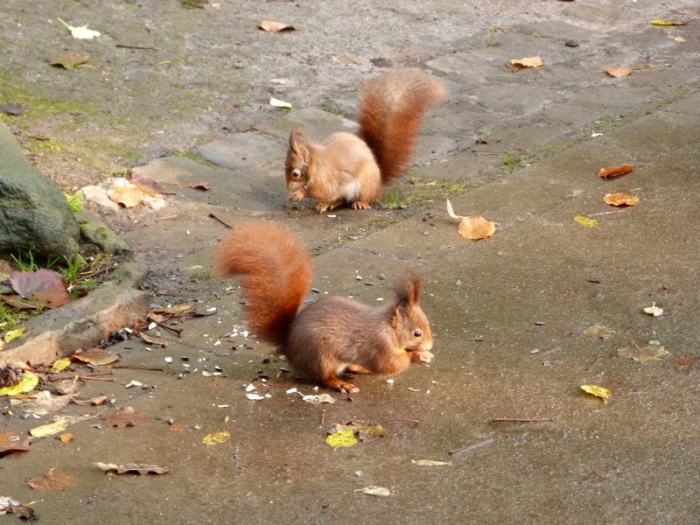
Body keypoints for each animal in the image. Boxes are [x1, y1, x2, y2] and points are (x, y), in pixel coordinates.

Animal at [215, 221, 434, 393]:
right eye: (417, 333)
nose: (430, 345)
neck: (388, 327)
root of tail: (289, 346)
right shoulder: (379, 345)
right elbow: (388, 365)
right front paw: (418, 356)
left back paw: (357, 368)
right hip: (321, 356)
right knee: (324, 377)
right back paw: (341, 384)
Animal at [285, 70, 446, 212]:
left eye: (295, 173)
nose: (288, 187)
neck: (316, 164)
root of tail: (379, 183)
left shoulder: (328, 178)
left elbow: (323, 191)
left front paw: (300, 193)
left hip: (365, 183)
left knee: (358, 198)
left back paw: (360, 203)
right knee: (340, 200)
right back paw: (326, 205)